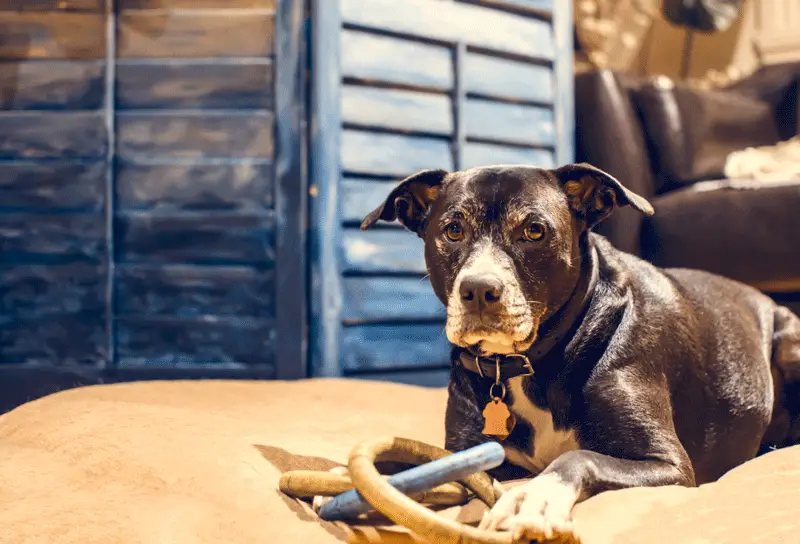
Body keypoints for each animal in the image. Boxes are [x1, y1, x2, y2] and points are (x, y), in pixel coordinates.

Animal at [362, 164, 800, 540]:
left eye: (534, 230)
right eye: (453, 230)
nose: (479, 289)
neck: (530, 363)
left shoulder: (670, 465)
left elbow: (578, 458)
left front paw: (530, 499)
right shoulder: (464, 454)